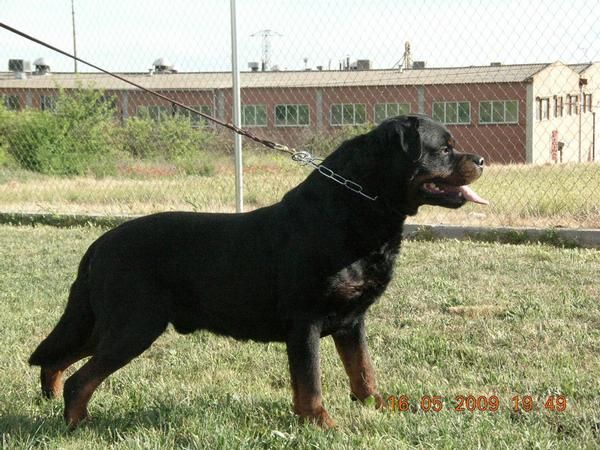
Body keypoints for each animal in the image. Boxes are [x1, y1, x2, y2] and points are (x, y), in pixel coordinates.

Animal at [29, 113, 488, 428]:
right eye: (443, 148)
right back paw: (76, 423)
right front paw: (321, 424)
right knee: (81, 377)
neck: (355, 209)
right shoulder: (304, 321)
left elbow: (363, 371)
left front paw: (374, 407)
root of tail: (99, 244)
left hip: (112, 324)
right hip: (134, 325)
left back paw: (51, 397)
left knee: (56, 358)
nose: (482, 158)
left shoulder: (350, 321)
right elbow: (310, 382)